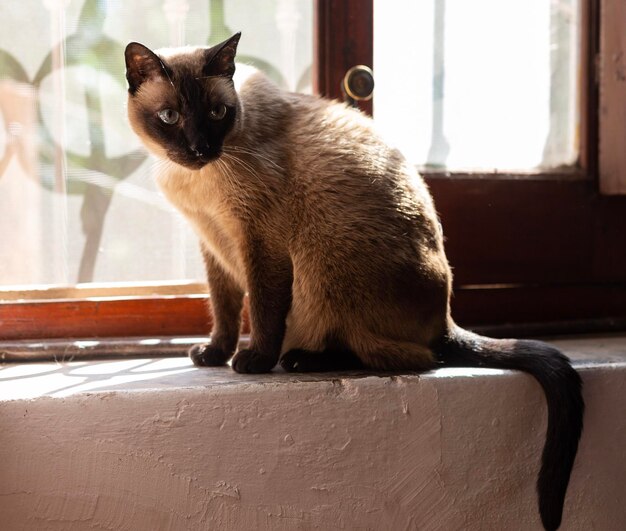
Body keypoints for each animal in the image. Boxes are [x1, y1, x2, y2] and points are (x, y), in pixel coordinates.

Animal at [124, 33, 584, 531]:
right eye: (170, 117)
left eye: (215, 112)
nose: (199, 148)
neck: (196, 181)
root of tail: (445, 320)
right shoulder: (214, 247)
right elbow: (224, 311)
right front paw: (214, 354)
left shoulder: (260, 244)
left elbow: (263, 310)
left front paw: (253, 362)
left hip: (323, 264)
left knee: (408, 357)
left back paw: (299, 360)